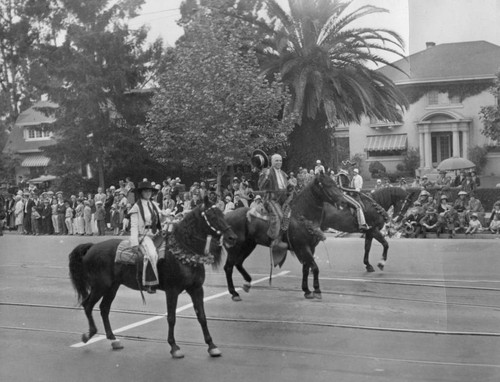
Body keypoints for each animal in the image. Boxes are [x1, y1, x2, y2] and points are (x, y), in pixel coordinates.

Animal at [68, 201, 238, 360]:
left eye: (223, 214)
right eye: (212, 216)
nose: (232, 238)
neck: (183, 251)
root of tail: (92, 247)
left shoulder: (196, 289)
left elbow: (202, 317)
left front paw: (212, 346)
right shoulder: (172, 291)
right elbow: (171, 318)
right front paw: (174, 347)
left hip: (112, 287)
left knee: (104, 308)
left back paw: (113, 340)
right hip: (100, 286)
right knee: (88, 305)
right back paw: (89, 335)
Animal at [224, 173, 346, 302]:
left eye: (335, 183)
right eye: (327, 185)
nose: (343, 201)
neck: (301, 215)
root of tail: (226, 216)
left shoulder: (310, 248)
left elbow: (306, 269)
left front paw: (307, 291)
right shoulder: (303, 247)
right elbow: (315, 268)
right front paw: (317, 291)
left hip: (248, 245)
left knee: (238, 263)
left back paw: (246, 284)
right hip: (234, 248)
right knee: (228, 267)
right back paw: (234, 293)